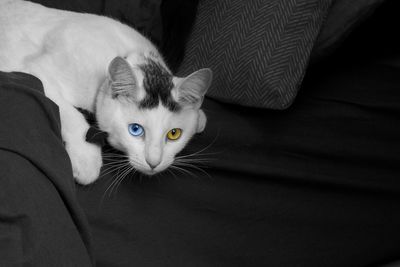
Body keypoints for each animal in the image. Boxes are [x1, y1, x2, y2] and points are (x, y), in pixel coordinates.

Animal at [0, 0, 212, 185]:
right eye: (135, 130)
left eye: (174, 134)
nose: (154, 163)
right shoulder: (36, 71)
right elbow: (72, 115)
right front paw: (86, 158)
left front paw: (200, 118)